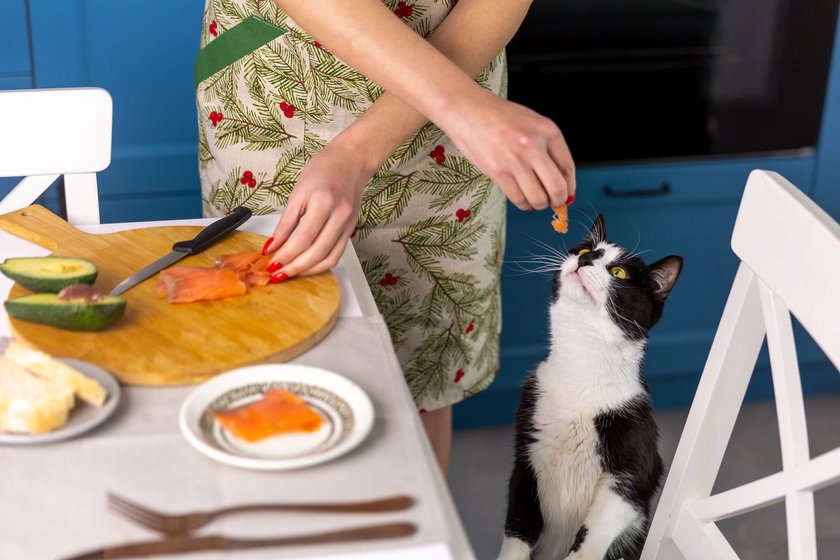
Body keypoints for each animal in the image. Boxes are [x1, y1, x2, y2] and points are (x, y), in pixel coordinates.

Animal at [498, 214, 684, 560]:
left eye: (619, 272)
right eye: (585, 248)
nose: (585, 259)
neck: (581, 370)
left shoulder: (631, 470)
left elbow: (596, 529)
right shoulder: (526, 456)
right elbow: (518, 525)